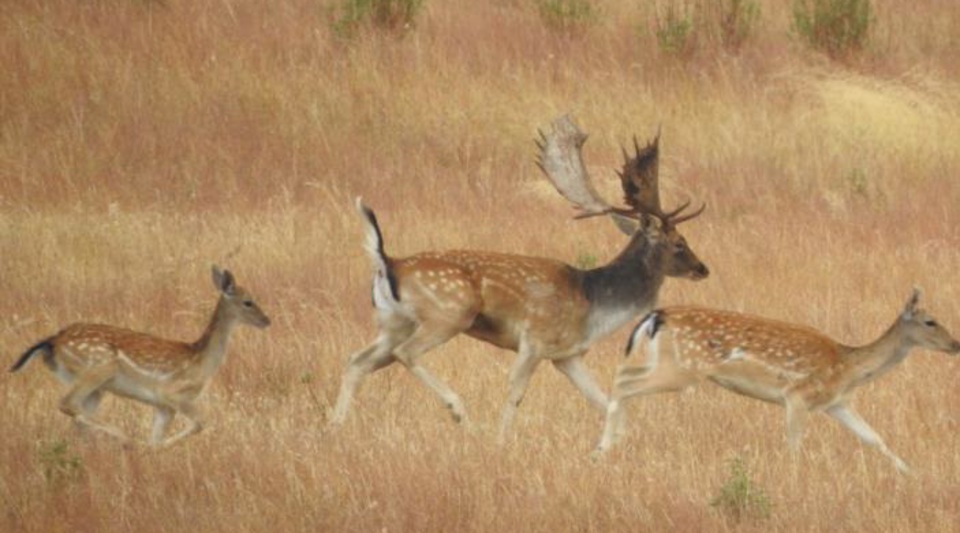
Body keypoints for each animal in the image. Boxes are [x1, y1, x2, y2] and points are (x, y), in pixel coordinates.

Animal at [11, 266, 272, 444]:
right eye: (248, 302)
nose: (267, 320)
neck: (200, 361)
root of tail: (52, 342)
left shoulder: (163, 406)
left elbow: (158, 438)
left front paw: (150, 450)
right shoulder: (171, 393)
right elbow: (199, 424)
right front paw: (149, 448)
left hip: (92, 385)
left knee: (78, 418)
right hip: (98, 367)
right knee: (67, 403)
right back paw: (124, 438)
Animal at [330, 113, 712, 440]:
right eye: (679, 243)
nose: (702, 268)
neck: (595, 303)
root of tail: (387, 262)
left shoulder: (568, 355)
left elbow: (602, 400)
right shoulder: (534, 340)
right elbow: (515, 392)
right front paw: (501, 441)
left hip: (393, 322)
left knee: (356, 360)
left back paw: (334, 425)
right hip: (448, 312)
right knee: (405, 353)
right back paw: (459, 411)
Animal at [592, 288, 960, 472]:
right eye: (930, 321)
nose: (956, 344)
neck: (848, 368)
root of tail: (657, 315)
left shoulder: (836, 403)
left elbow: (874, 438)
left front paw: (911, 474)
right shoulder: (797, 395)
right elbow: (795, 445)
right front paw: (794, 482)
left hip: (666, 363)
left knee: (622, 375)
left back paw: (611, 441)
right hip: (682, 369)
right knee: (624, 384)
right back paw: (605, 445)